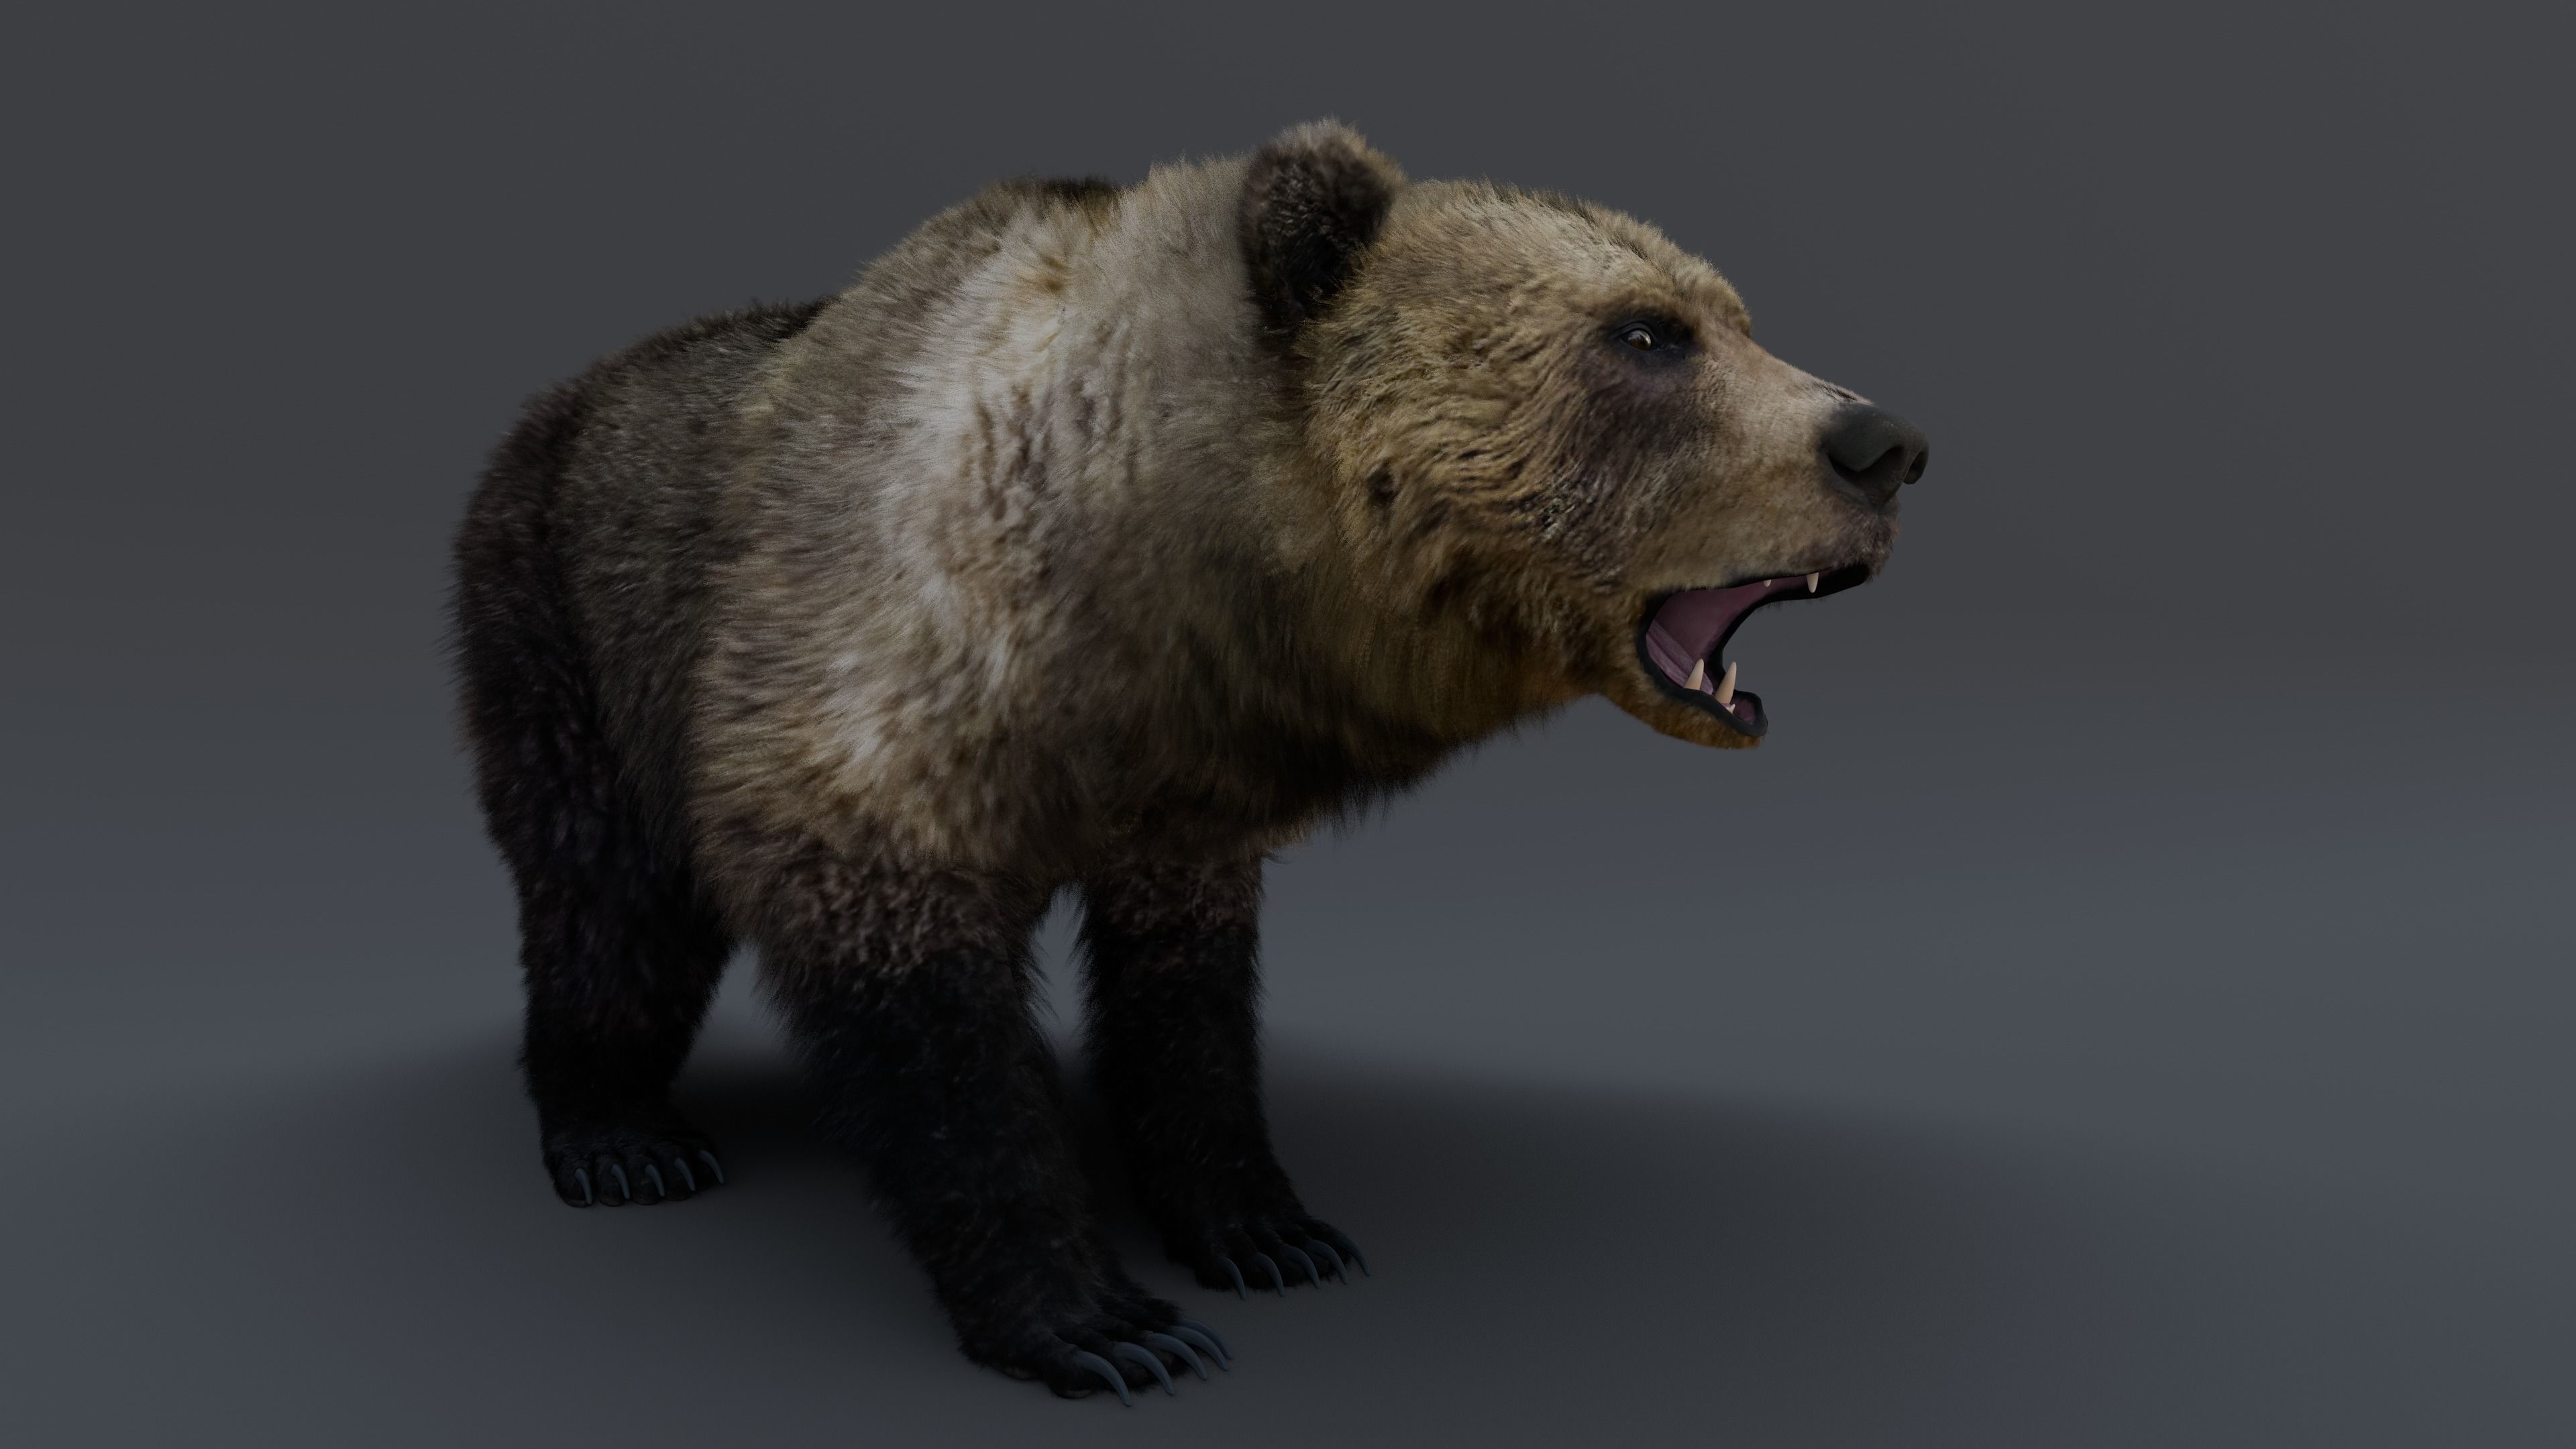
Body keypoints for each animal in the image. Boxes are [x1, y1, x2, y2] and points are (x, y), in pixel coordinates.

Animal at [449, 120, 1926, 1402]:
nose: (1882, 443)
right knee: (606, 902)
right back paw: (620, 1138)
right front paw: (1102, 1325)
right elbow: (926, 1014)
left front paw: (1268, 1228)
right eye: (1647, 334)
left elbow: (1189, 1005)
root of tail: (561, 395)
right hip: (564, 626)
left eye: (1733, 314)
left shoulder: (1178, 797)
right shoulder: (877, 687)